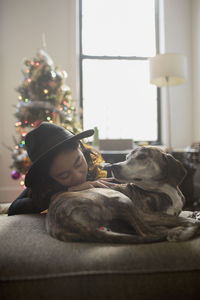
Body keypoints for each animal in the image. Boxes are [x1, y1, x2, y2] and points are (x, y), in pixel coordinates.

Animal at [45, 146, 200, 243]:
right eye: (126, 157)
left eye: (142, 156)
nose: (113, 166)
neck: (164, 190)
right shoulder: (145, 214)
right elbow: (182, 219)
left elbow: (183, 216)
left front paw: (194, 214)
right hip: (122, 200)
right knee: (150, 232)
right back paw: (179, 232)